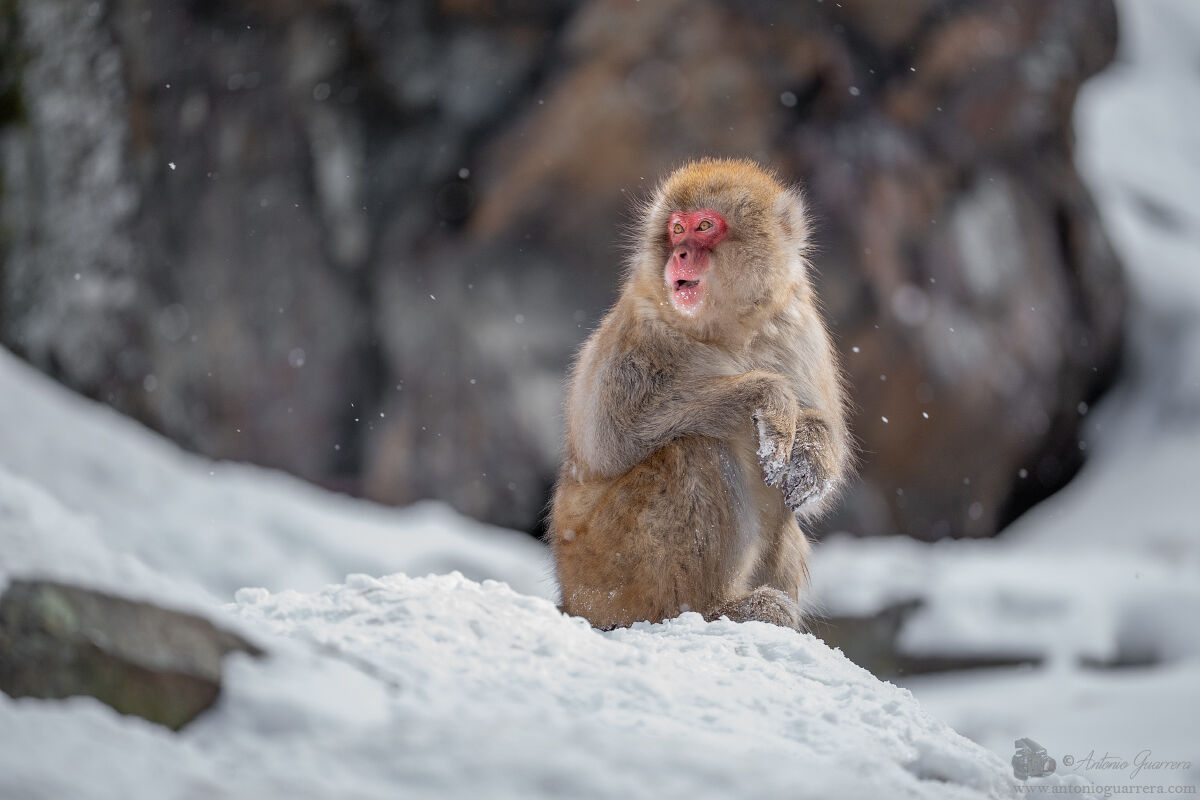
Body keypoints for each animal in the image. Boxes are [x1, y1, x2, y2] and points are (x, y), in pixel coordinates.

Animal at [547, 158, 852, 631]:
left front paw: (811, 461)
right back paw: (716, 609)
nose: (680, 254)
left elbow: (820, 424)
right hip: (607, 571)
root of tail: (571, 597)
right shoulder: (641, 330)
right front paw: (768, 394)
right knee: (695, 449)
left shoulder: (798, 325)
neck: (732, 329)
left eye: (705, 226)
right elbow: (610, 438)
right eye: (677, 229)